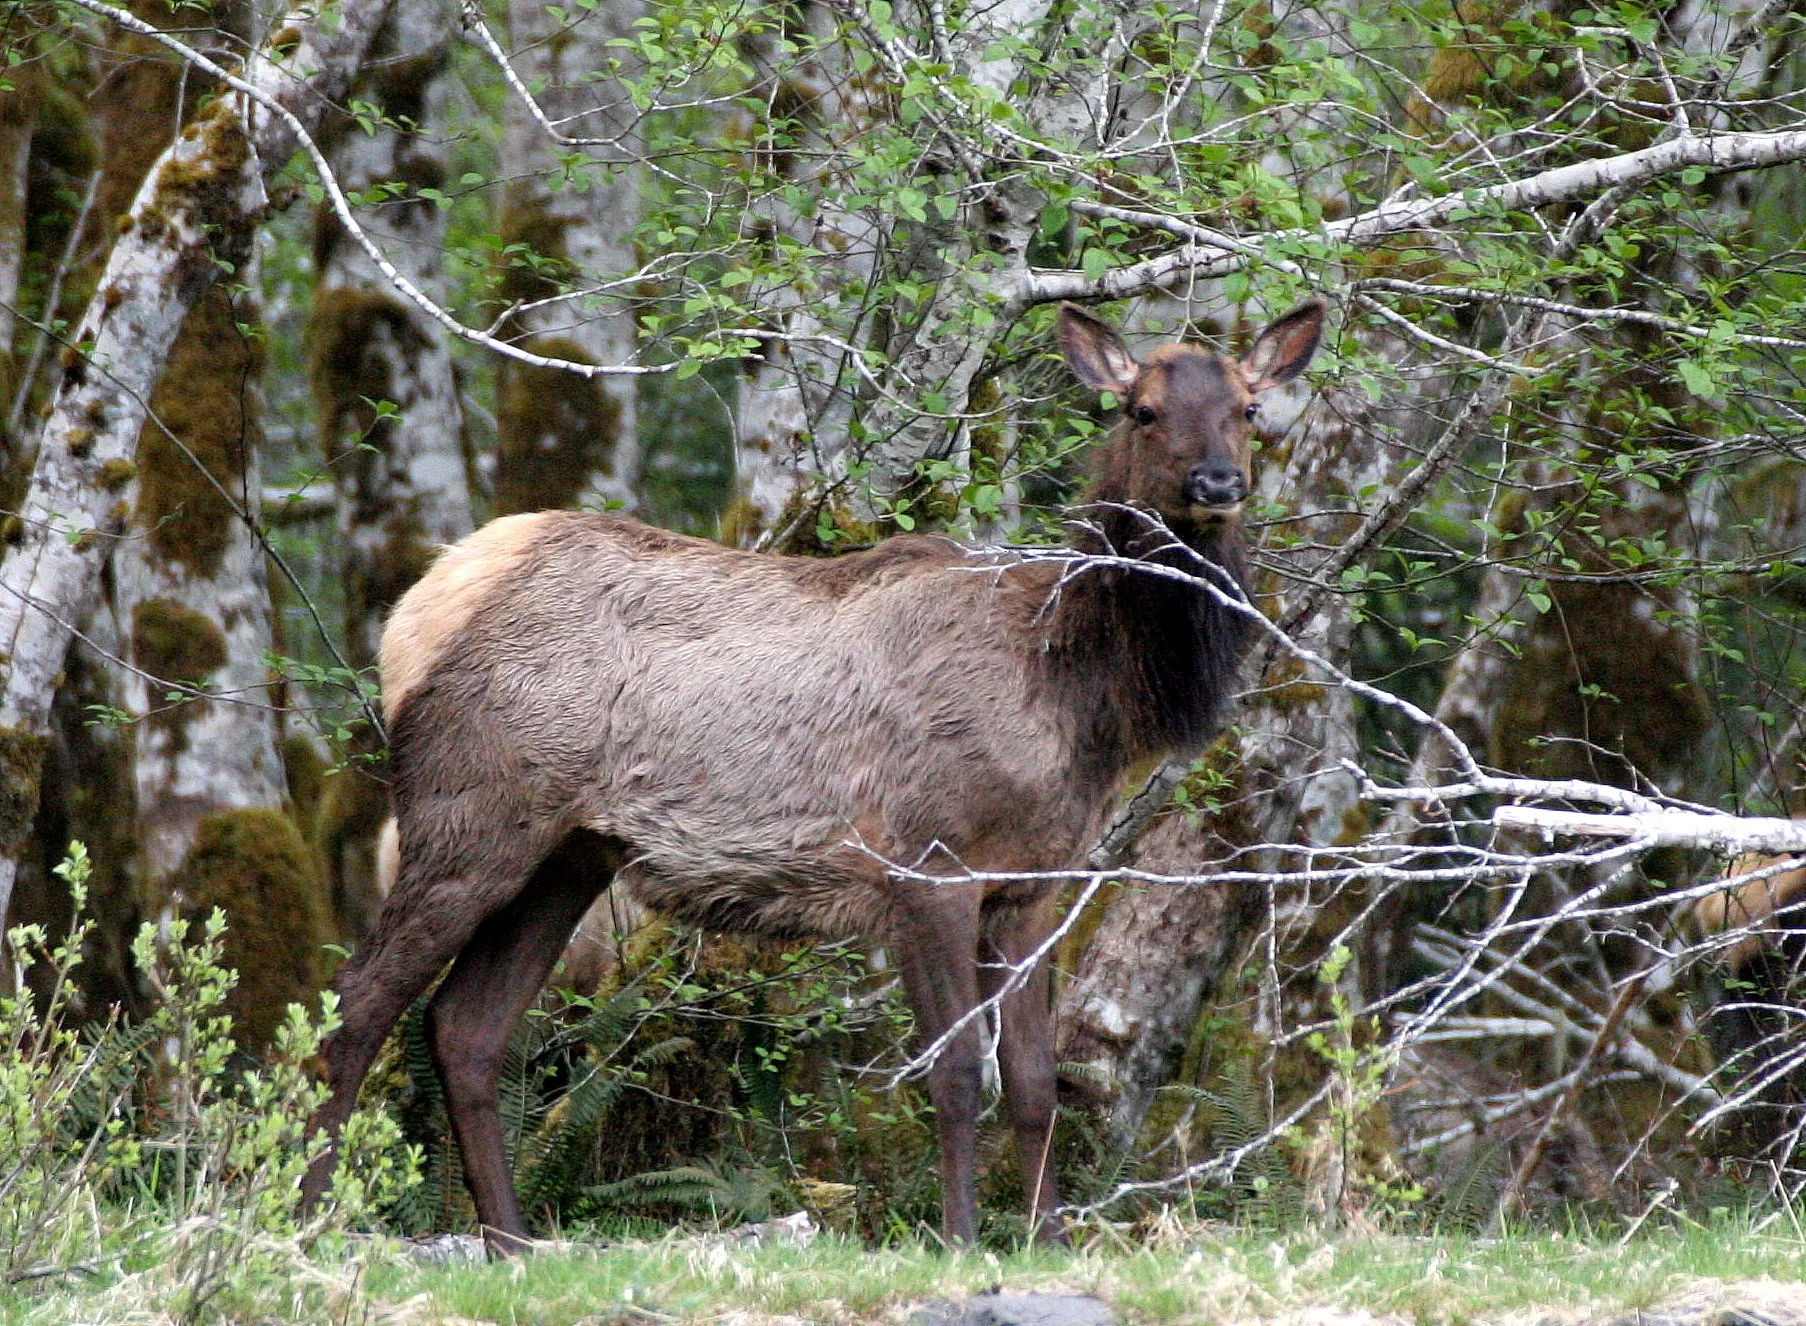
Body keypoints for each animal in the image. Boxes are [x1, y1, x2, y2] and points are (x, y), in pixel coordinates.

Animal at [299, 298, 1326, 1252]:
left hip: (570, 853)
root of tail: (413, 613)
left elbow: (1036, 1086)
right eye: (1142, 410)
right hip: (467, 812)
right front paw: (961, 1239)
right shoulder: (929, 864)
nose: (1218, 483)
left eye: (1248, 407)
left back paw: (512, 1242)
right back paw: (302, 1217)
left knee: (467, 1028)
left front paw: (1051, 1238)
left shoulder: (1032, 885)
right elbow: (956, 1074)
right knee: (353, 1006)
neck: (1079, 697)